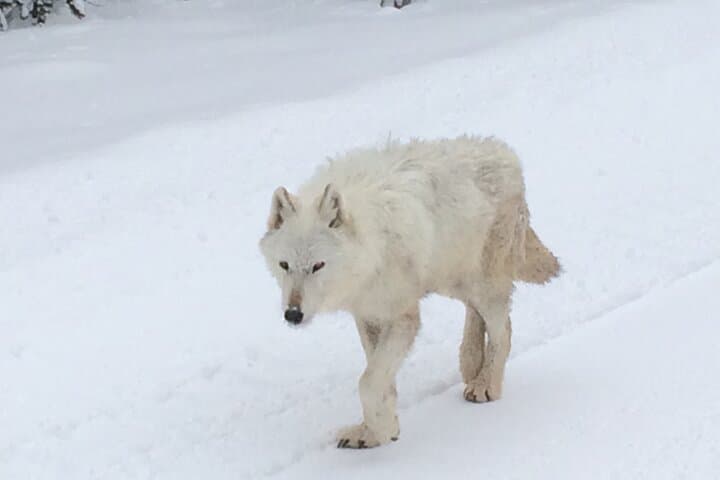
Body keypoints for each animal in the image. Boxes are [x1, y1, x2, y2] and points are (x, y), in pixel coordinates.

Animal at [259, 136, 560, 449]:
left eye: (318, 266)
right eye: (284, 265)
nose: (293, 314)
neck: (370, 248)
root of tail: (508, 153)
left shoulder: (402, 318)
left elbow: (368, 383)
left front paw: (379, 430)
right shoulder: (367, 315)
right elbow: (380, 379)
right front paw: (377, 431)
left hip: (482, 285)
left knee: (505, 329)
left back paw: (485, 383)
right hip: (454, 281)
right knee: (476, 314)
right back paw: (470, 364)